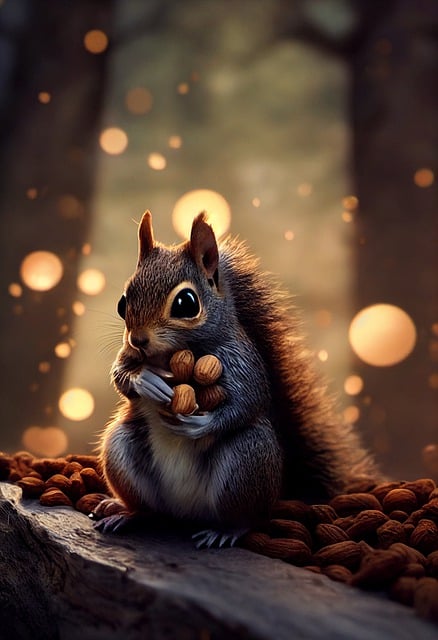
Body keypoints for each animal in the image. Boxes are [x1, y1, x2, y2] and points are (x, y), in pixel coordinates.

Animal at [94, 210, 378, 547]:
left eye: (186, 303)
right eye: (123, 302)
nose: (138, 339)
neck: (172, 353)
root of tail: (184, 513)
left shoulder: (241, 359)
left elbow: (250, 399)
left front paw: (198, 424)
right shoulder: (129, 355)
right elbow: (119, 374)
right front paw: (146, 381)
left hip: (247, 460)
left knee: (246, 518)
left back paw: (224, 532)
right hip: (121, 449)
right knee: (148, 508)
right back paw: (125, 514)